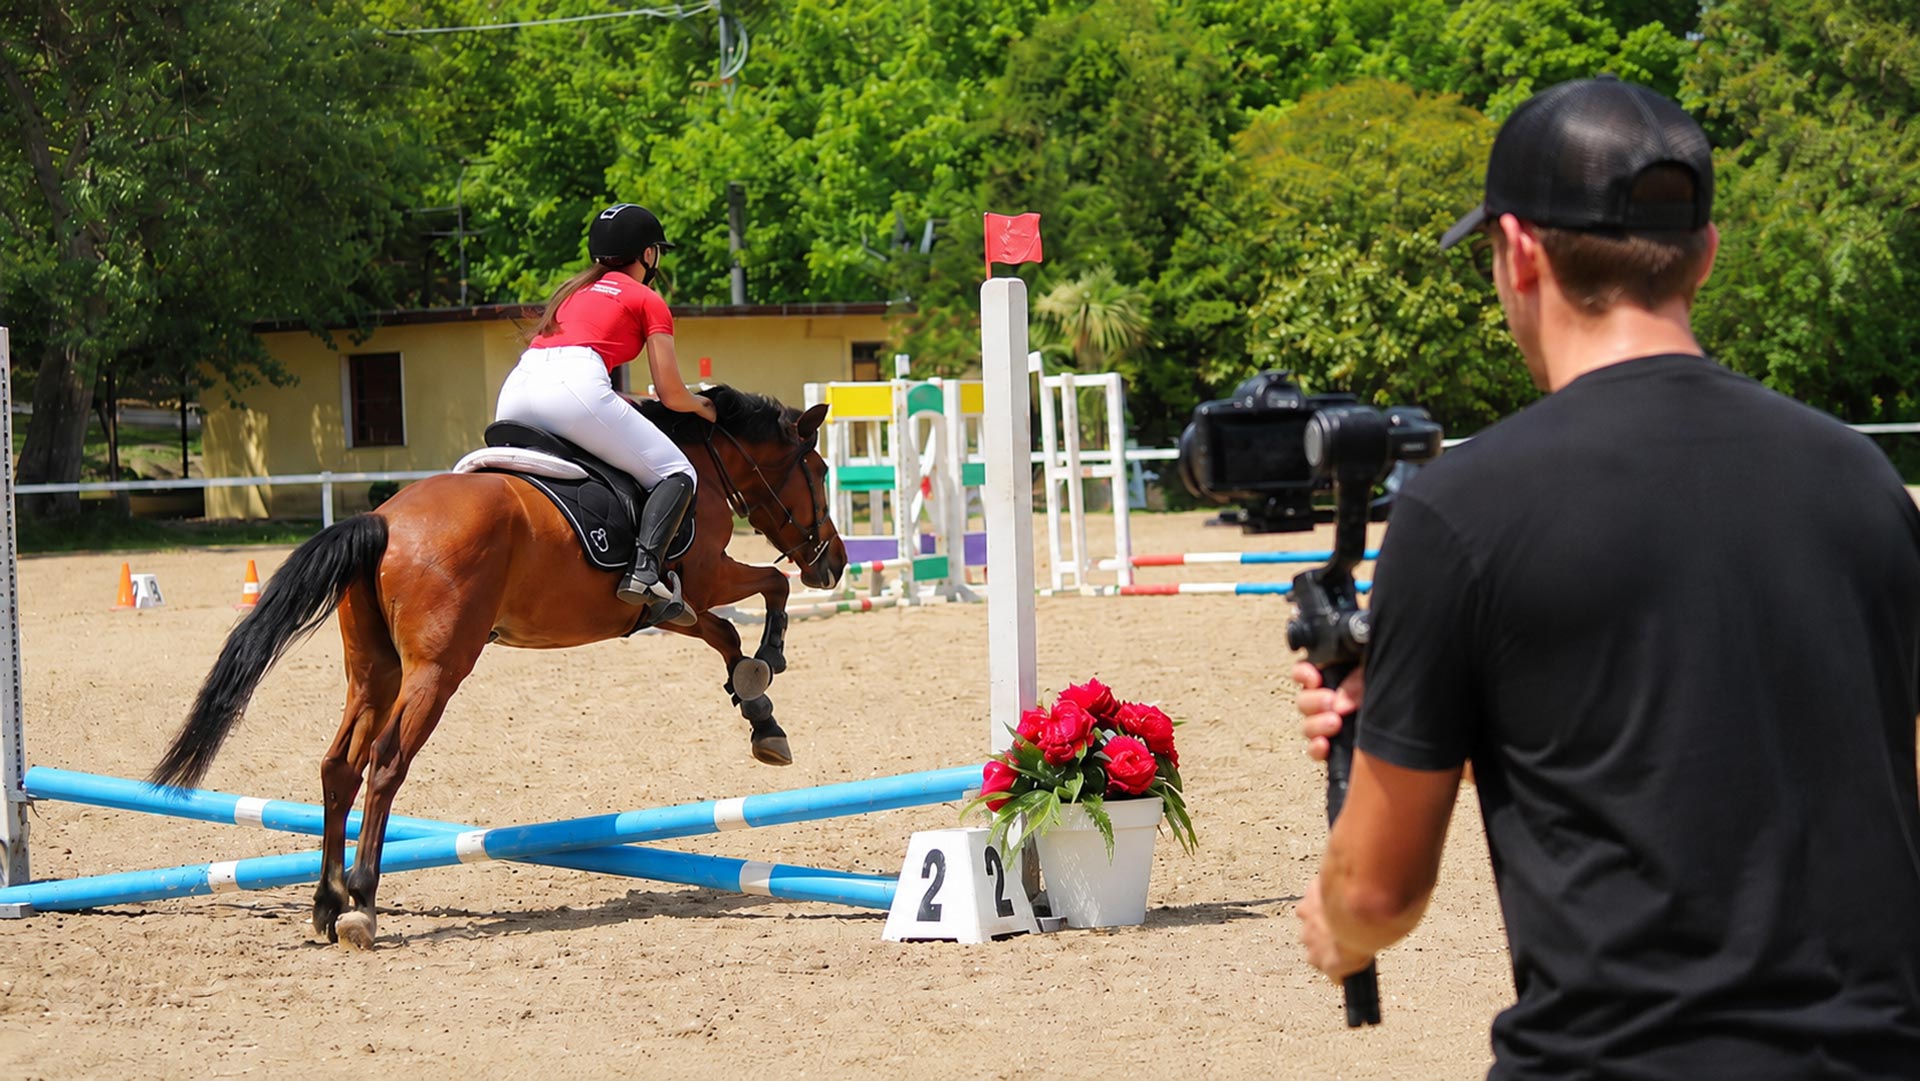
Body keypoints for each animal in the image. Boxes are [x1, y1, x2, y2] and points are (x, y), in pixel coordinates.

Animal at [149, 385, 848, 948]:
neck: (701, 460)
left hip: (374, 671)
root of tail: (383, 519)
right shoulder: (705, 575)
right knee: (385, 763)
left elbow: (726, 633)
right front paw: (771, 661)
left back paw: (326, 902)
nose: (835, 564)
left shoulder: (671, 603)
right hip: (437, 670)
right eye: (817, 470)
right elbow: (769, 589)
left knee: (339, 766)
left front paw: (761, 715)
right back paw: (362, 904)